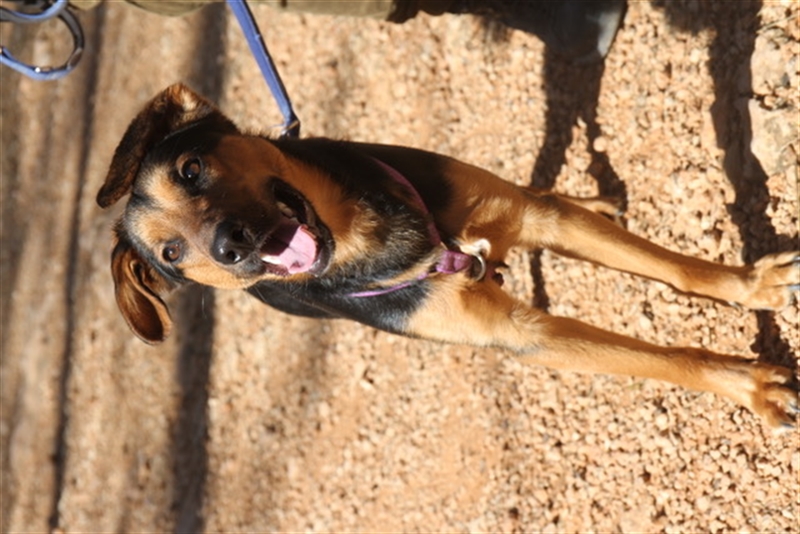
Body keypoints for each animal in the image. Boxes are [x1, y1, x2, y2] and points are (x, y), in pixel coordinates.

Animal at [98, 84, 799, 429]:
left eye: (191, 168)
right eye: (171, 252)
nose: (230, 244)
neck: (372, 236)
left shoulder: (531, 218)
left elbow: (680, 268)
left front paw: (752, 285)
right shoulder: (520, 333)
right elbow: (663, 360)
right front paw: (753, 388)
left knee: (558, 202)